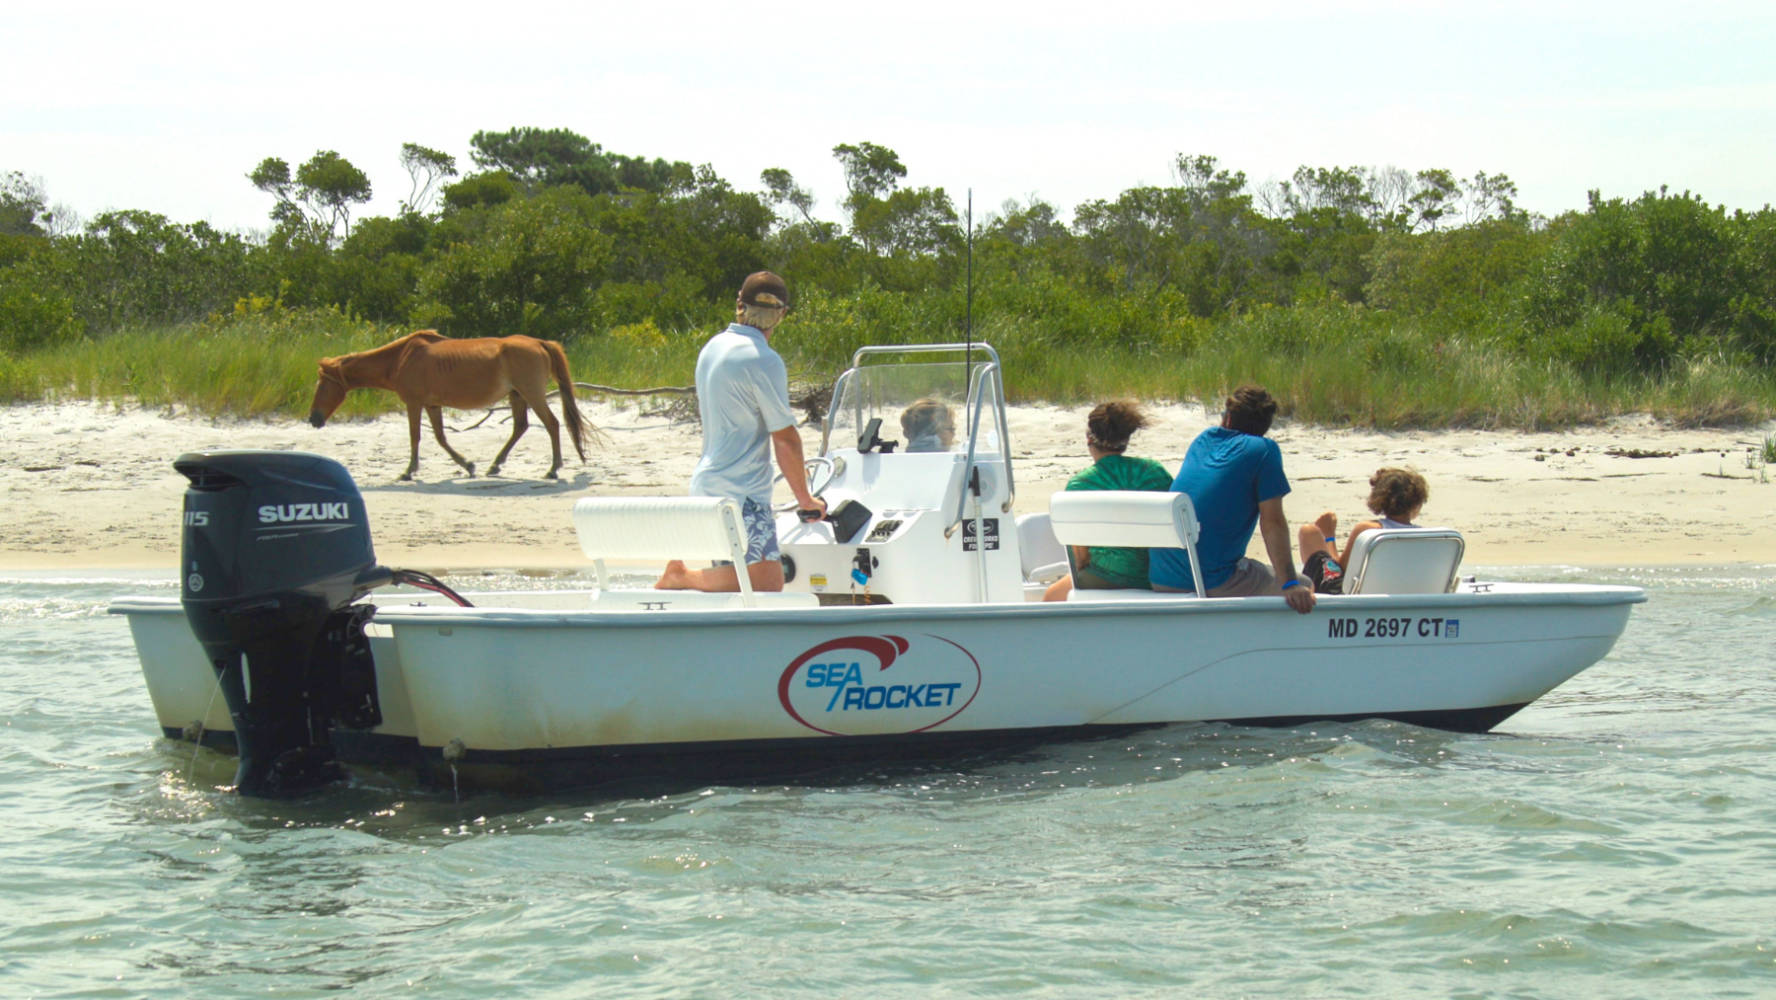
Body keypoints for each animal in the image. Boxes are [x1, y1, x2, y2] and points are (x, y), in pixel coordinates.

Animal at [308, 330, 595, 481]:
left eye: (321, 386)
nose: (313, 419)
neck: (400, 359)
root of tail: (539, 342)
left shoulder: (414, 404)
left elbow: (415, 437)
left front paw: (408, 471)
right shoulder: (432, 406)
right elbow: (441, 438)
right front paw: (467, 465)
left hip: (532, 395)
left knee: (552, 424)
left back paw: (553, 469)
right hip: (517, 396)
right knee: (520, 427)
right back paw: (495, 465)